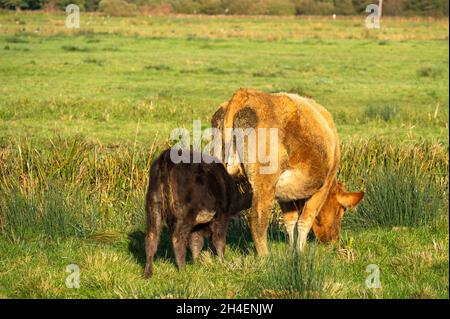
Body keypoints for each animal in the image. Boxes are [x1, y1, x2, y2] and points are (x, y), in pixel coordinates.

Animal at [213, 89, 364, 256]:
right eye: (340, 211)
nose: (333, 240)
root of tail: (245, 93)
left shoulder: (285, 194)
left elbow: (290, 220)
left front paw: (292, 249)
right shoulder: (323, 187)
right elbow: (305, 220)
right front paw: (300, 251)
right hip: (264, 183)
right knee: (257, 220)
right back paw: (265, 256)